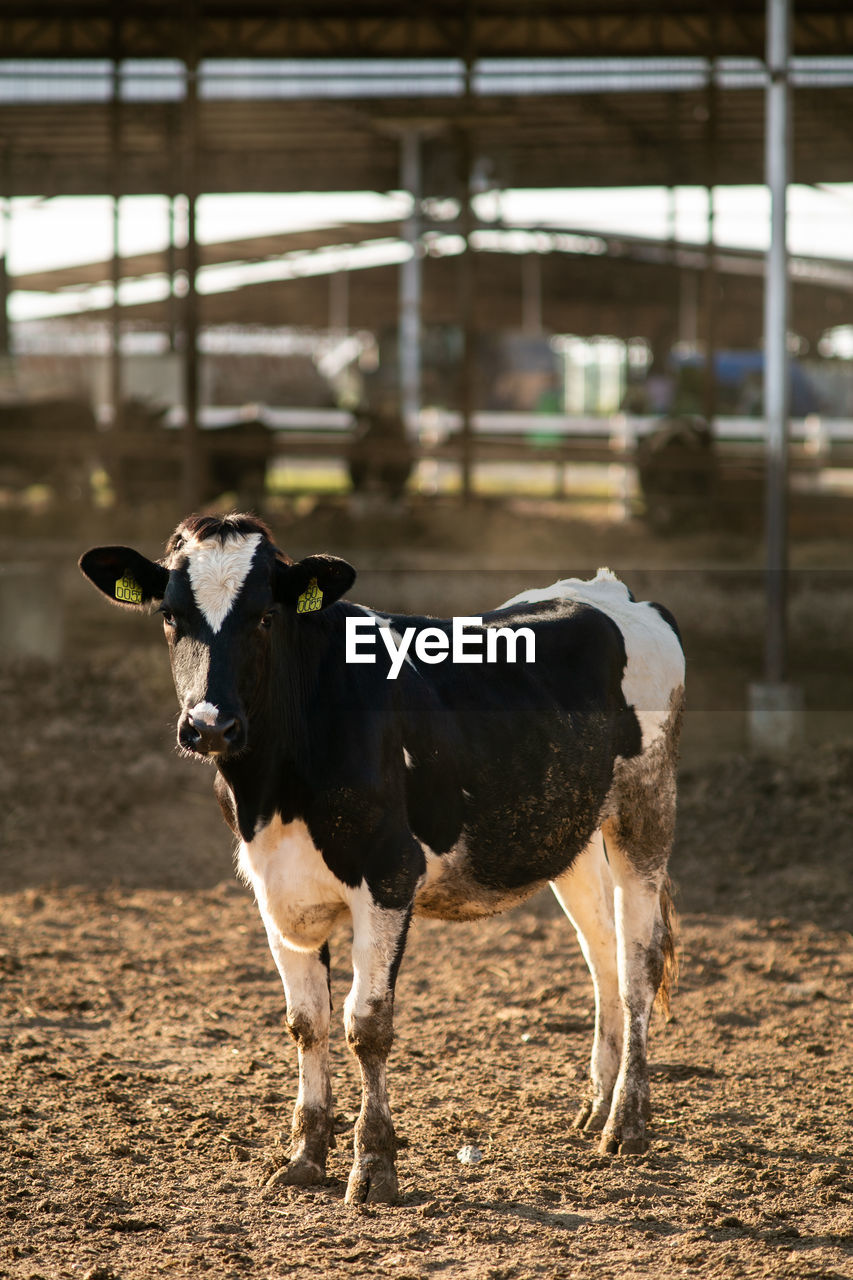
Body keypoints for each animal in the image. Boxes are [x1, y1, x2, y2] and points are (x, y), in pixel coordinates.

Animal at [79, 509, 686, 1198]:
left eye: (265, 616)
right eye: (171, 616)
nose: (209, 726)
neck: (275, 784)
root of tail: (611, 590)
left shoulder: (389, 874)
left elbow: (365, 1025)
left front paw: (373, 1167)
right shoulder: (272, 885)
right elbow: (306, 1021)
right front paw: (304, 1156)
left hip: (645, 810)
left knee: (638, 964)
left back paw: (627, 1123)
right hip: (569, 835)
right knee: (602, 955)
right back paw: (597, 1105)